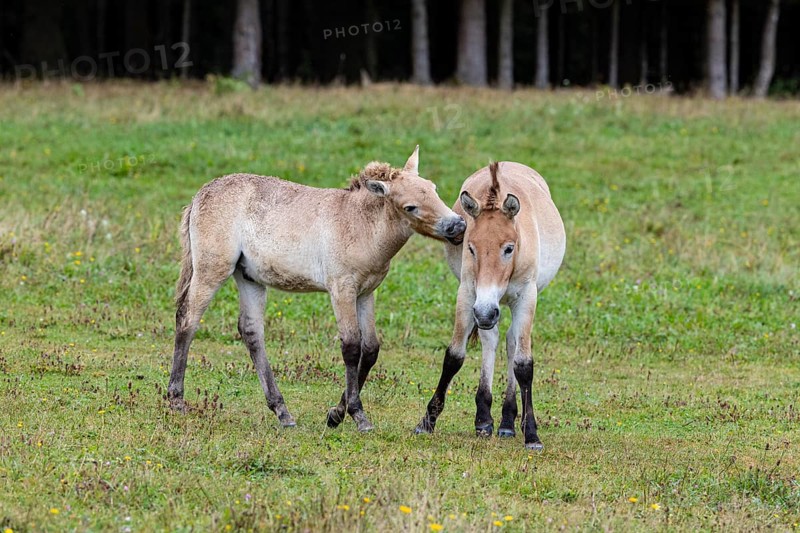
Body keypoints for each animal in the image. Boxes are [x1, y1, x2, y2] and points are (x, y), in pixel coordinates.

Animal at [167, 147, 466, 432]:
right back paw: (176, 400)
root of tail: (199, 196)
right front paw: (357, 416)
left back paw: (282, 412)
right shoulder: (341, 290)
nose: (458, 225)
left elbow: (370, 349)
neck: (359, 224)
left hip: (249, 277)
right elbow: (351, 347)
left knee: (251, 332)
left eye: (433, 188)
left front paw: (335, 414)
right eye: (410, 207)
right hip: (212, 270)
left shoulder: (366, 293)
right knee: (188, 320)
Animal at [415, 161, 565, 449]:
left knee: (511, 342)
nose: (485, 312)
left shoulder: (526, 297)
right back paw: (485, 419)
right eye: (471, 248)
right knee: (493, 339)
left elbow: (523, 364)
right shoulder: (468, 294)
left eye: (509, 248)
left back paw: (507, 422)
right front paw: (427, 422)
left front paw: (532, 434)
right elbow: (454, 356)